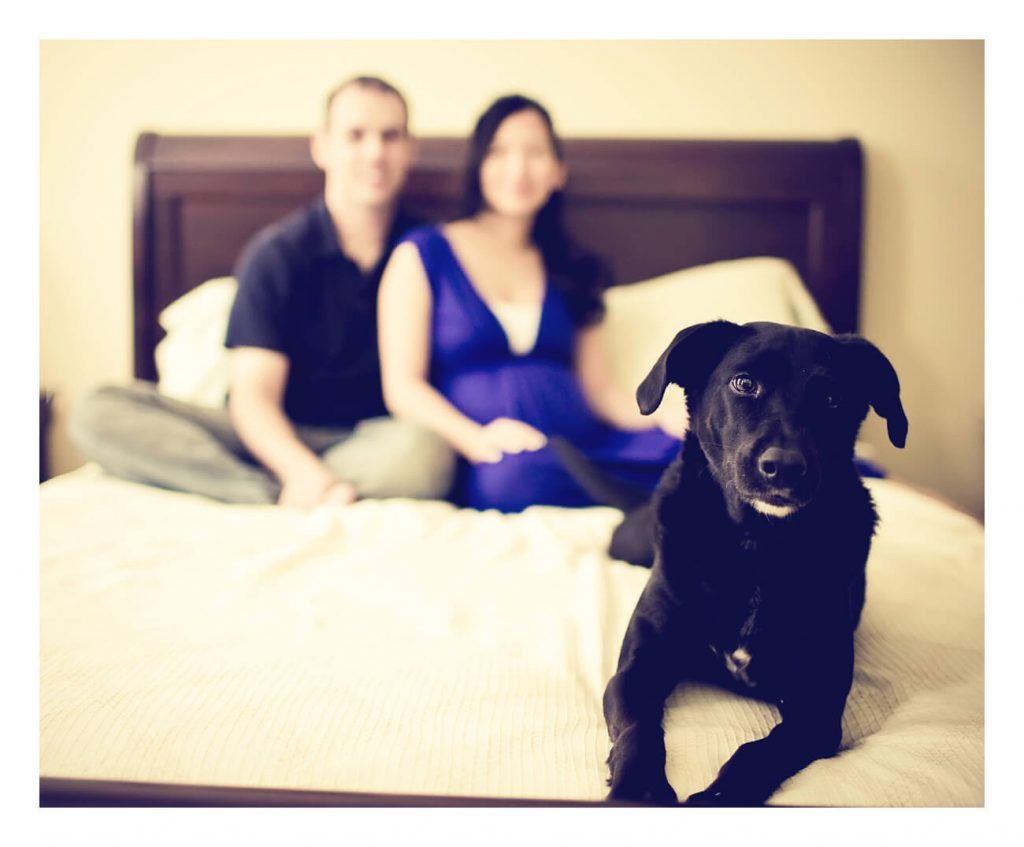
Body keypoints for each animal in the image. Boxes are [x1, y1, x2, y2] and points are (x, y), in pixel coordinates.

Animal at [585, 321, 905, 802]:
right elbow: (639, 728)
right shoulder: (635, 672)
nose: (784, 467)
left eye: (832, 398)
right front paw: (638, 790)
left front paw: (715, 798)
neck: (754, 545)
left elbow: (760, 751)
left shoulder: (818, 709)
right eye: (744, 383)